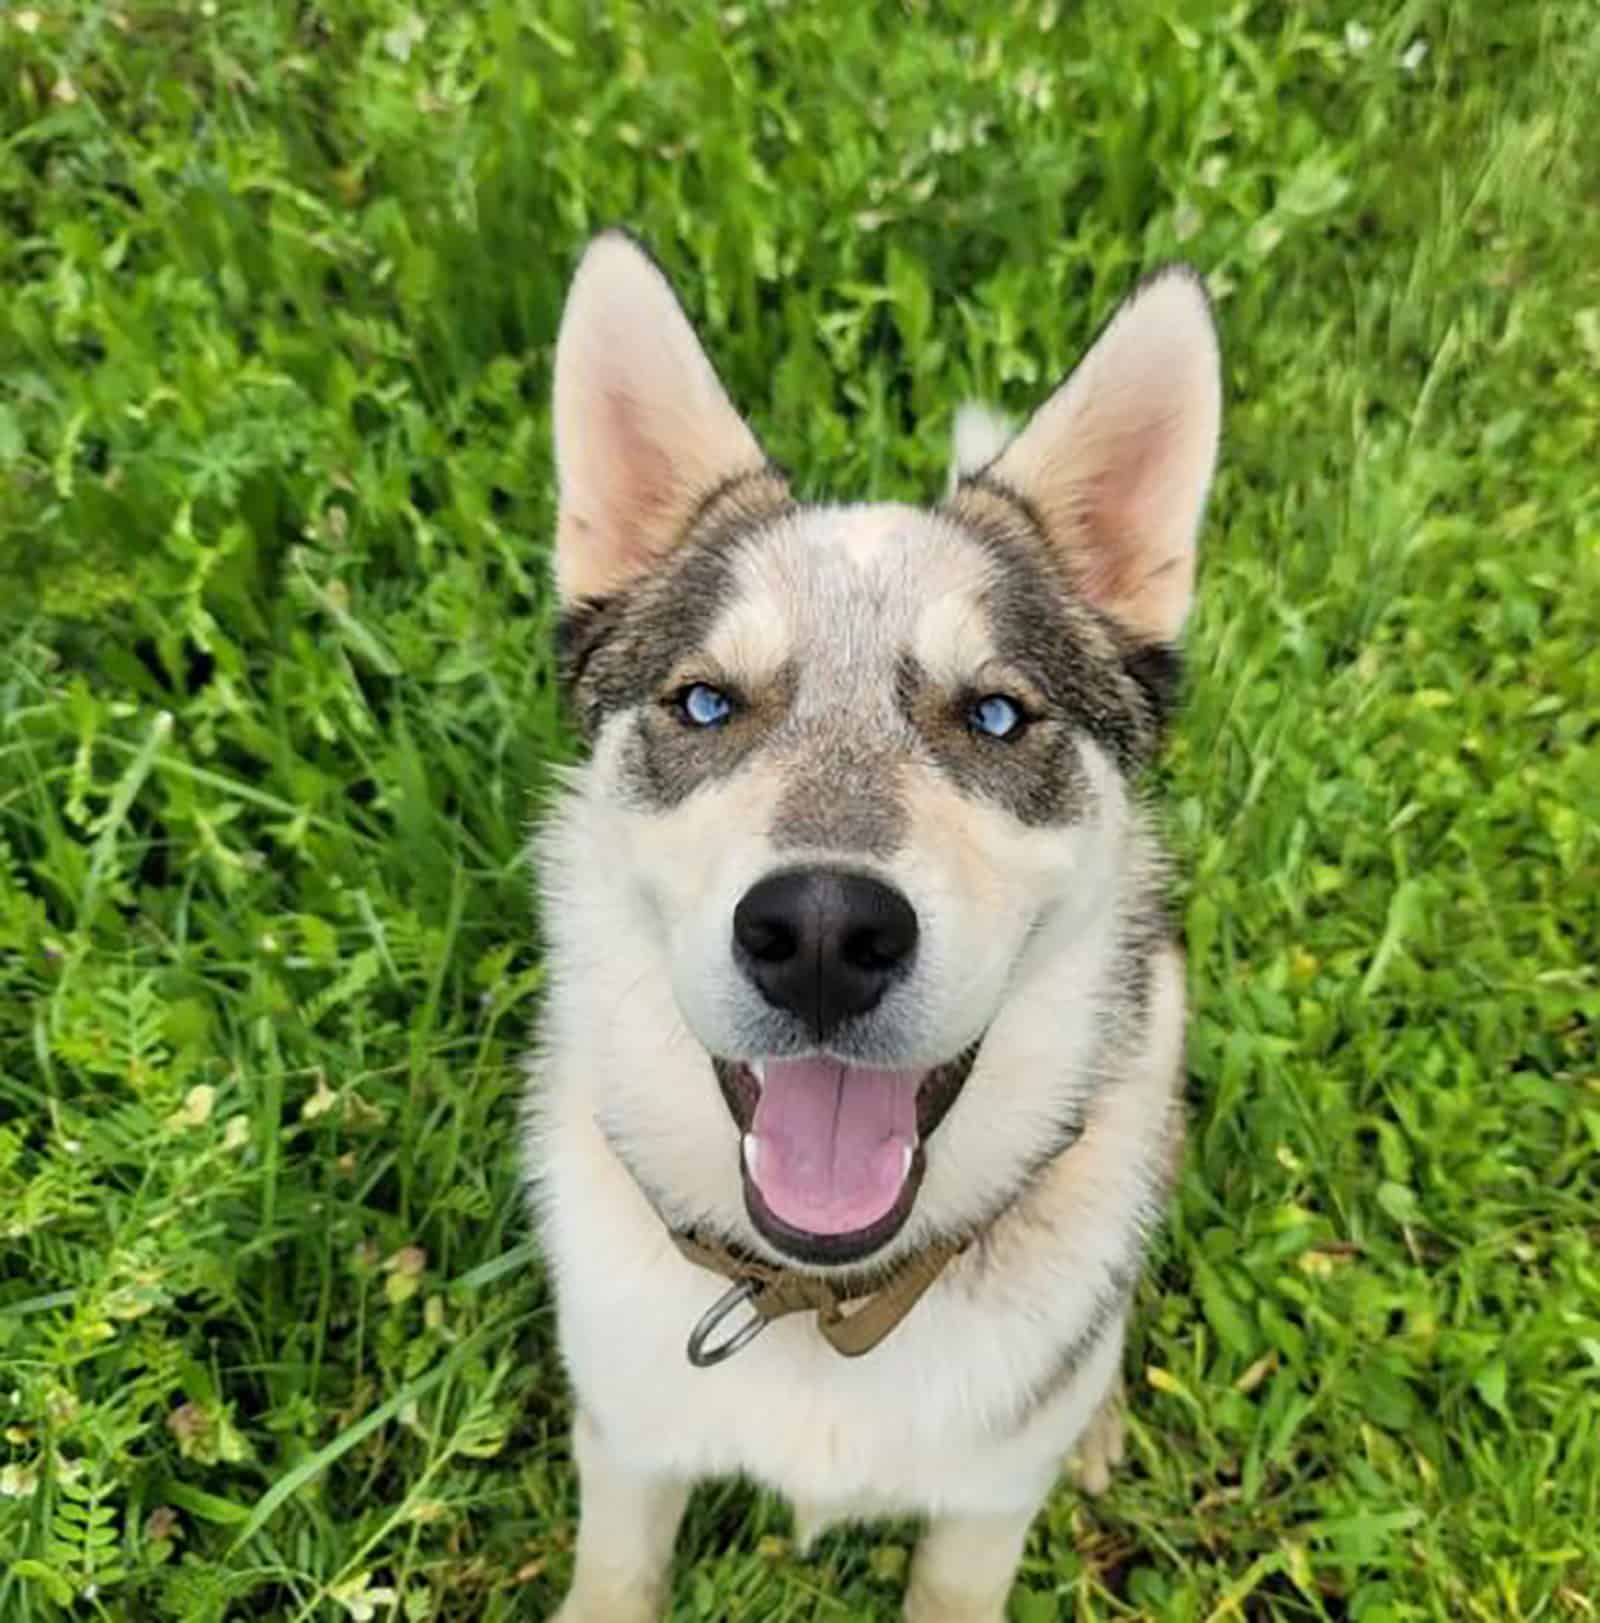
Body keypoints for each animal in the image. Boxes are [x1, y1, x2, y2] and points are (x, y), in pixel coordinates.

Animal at [519, 232, 1207, 1623]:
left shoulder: (984, 1515)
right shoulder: (623, 1448)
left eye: (995, 716)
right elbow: (616, 1573)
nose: (825, 935)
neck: (822, 1304)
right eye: (705, 703)